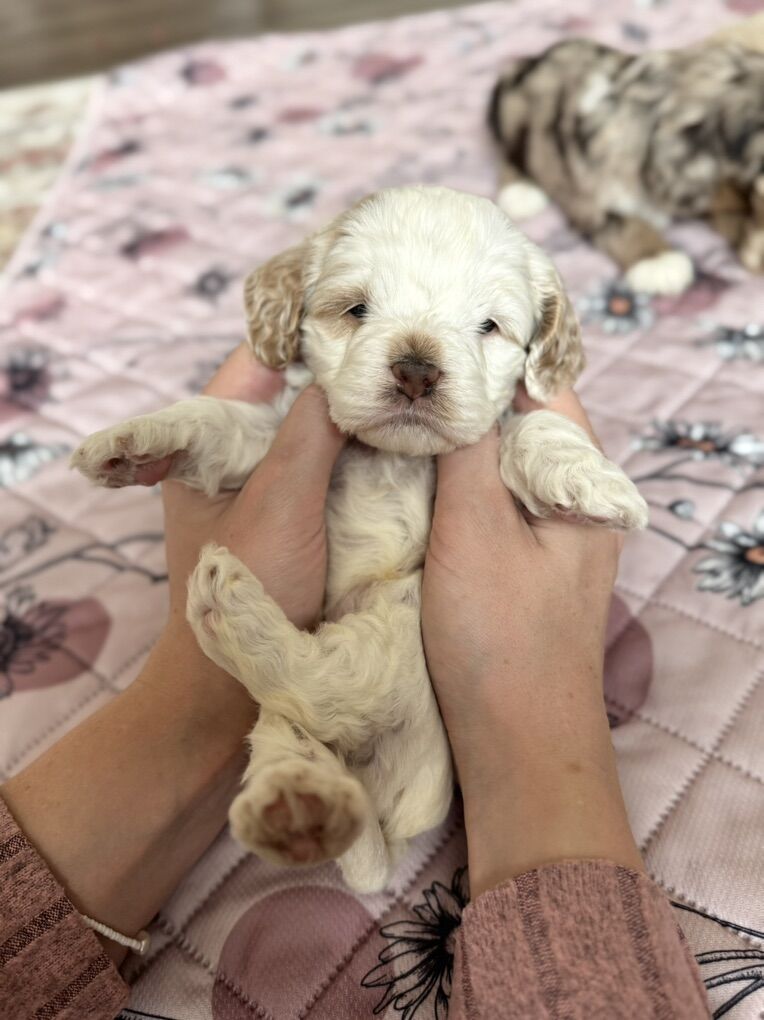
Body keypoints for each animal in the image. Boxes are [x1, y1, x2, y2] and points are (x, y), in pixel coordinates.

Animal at [488, 38, 764, 295]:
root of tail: (533, 58)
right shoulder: (591, 199)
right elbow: (624, 223)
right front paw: (656, 260)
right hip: (511, 115)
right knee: (510, 151)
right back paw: (521, 191)